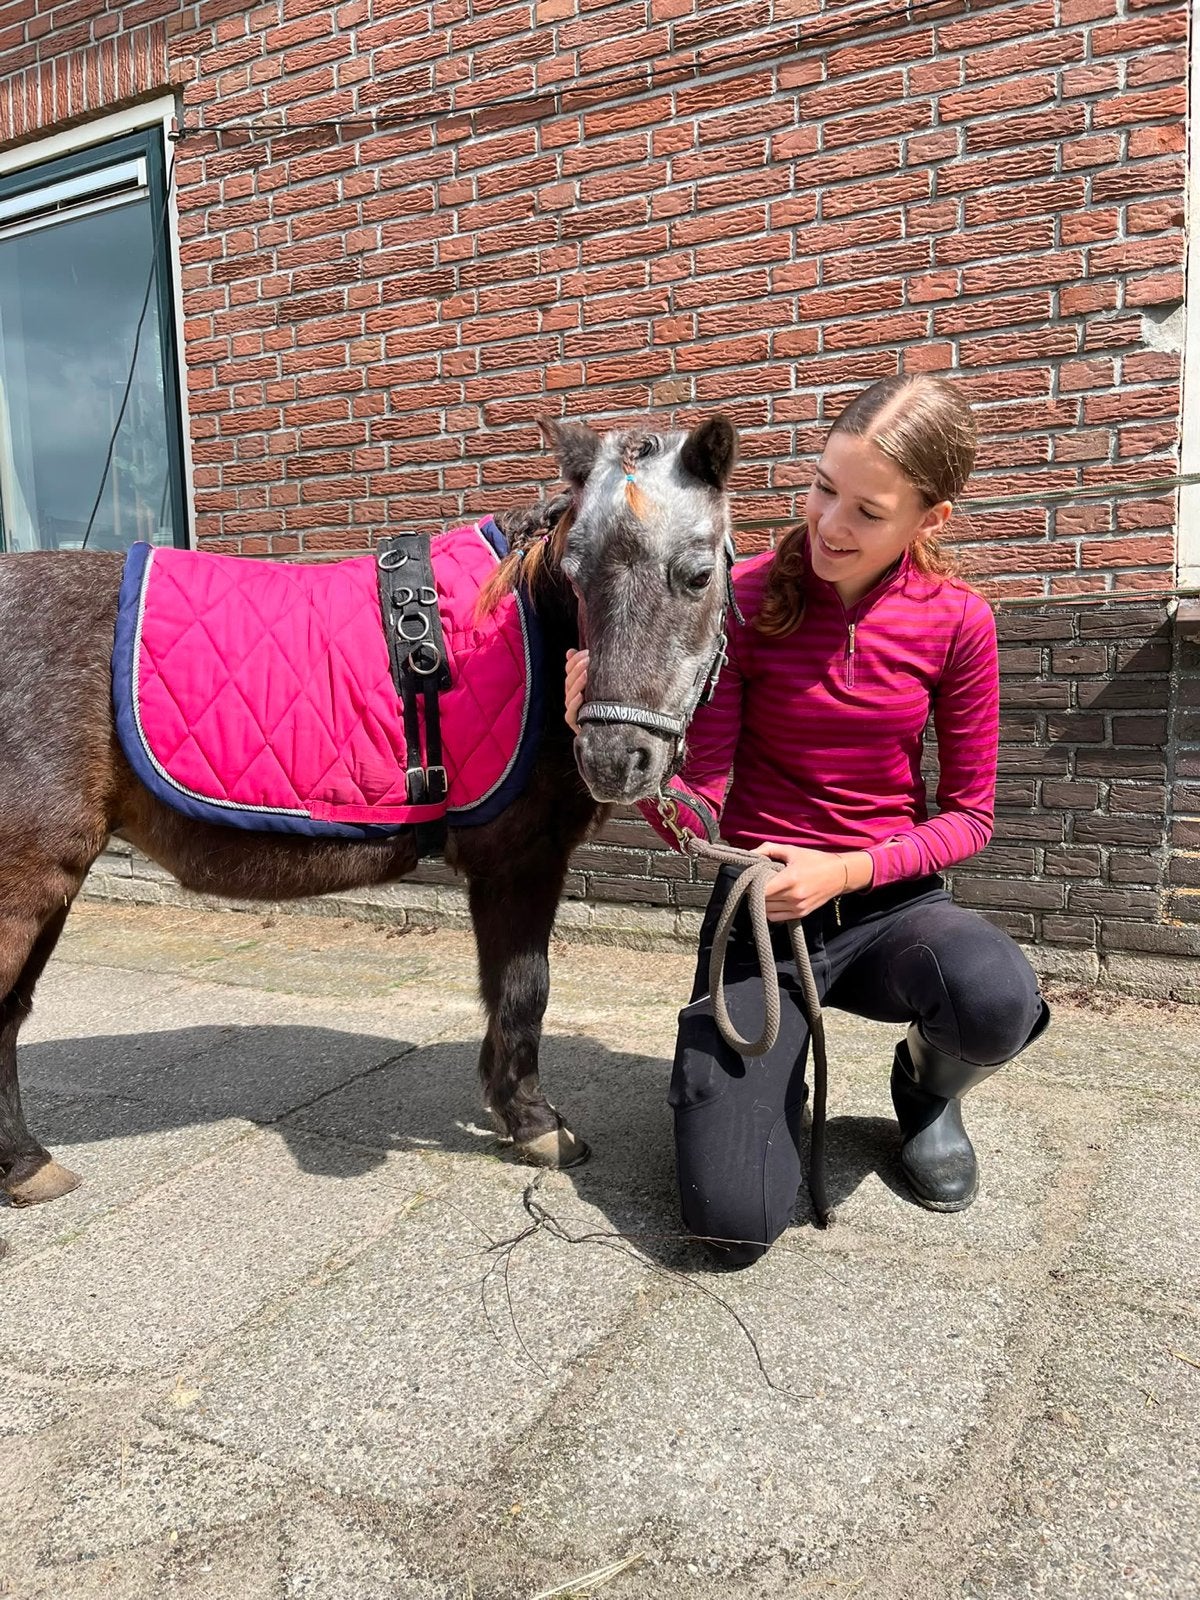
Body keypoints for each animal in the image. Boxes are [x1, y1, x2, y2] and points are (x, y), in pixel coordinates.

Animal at [0, 414, 737, 1207]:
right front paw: (536, 1123)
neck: (530, 634)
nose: (613, 758)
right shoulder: (520, 861)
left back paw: (25, 1164)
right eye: (574, 574)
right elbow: (523, 989)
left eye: (697, 575)